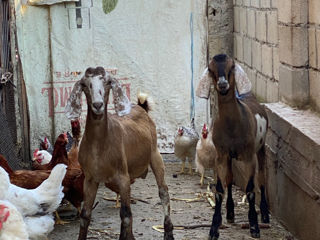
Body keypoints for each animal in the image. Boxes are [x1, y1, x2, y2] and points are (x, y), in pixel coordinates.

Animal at [65, 67, 175, 240]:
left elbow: (125, 214)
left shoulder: (123, 177)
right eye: (85, 84)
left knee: (163, 192)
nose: (97, 105)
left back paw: (168, 232)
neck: (99, 147)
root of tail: (141, 107)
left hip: (155, 155)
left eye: (108, 82)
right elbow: (85, 215)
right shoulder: (89, 179)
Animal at [206, 54, 268, 240]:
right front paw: (214, 229)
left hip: (261, 148)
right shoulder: (221, 155)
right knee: (230, 179)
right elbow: (220, 190)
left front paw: (254, 227)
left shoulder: (248, 156)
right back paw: (230, 213)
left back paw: (265, 214)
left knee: (262, 177)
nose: (222, 84)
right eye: (210, 68)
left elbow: (250, 189)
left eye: (232, 66)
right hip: (230, 157)